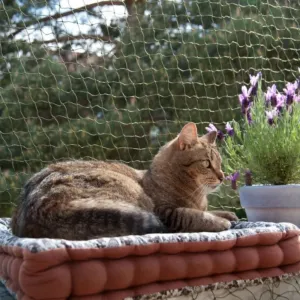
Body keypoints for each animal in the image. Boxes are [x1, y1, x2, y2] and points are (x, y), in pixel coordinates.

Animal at [11, 122, 237, 239]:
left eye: (220, 163)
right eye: (207, 163)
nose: (222, 176)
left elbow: (207, 211)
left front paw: (228, 214)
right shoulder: (166, 213)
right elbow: (193, 215)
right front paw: (221, 221)